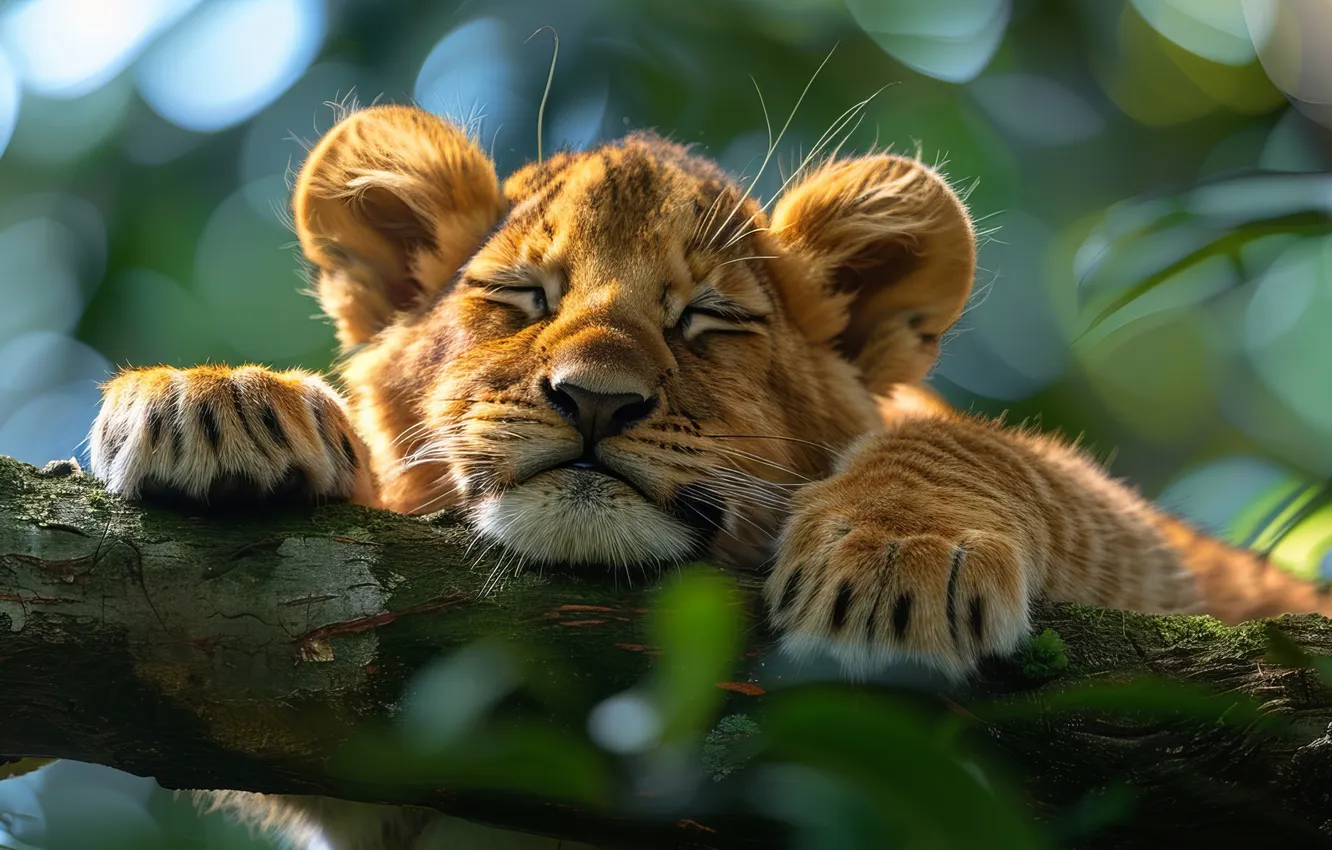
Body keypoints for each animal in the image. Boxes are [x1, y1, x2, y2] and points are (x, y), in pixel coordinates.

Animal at [86, 104, 1332, 848]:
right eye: (524, 298)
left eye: (710, 320)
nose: (595, 398)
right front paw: (219, 400)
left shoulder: (1167, 574)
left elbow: (995, 450)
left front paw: (896, 558)